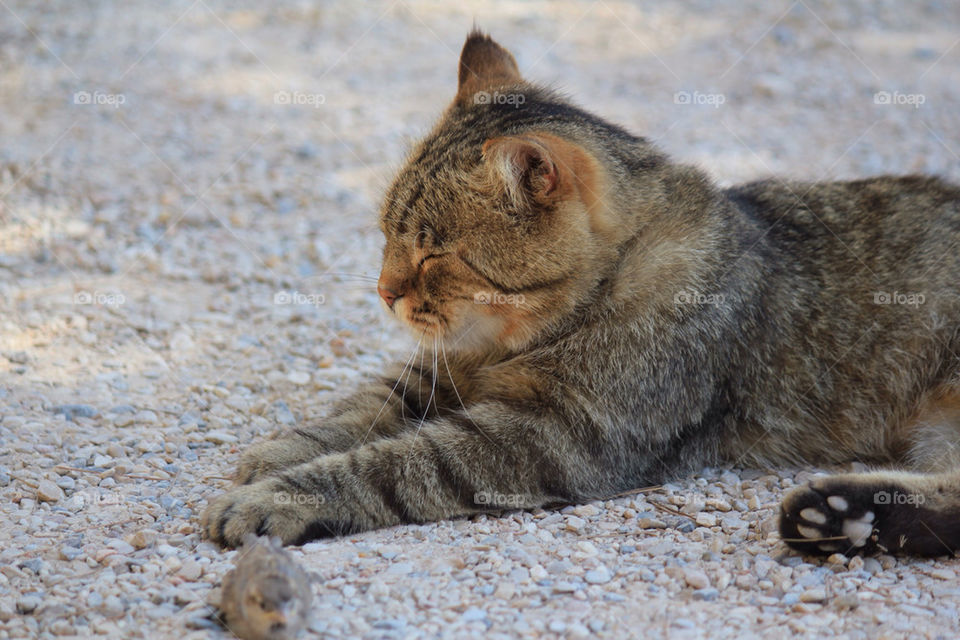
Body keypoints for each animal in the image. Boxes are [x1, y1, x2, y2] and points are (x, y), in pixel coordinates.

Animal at [206, 30, 960, 556]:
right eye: (386, 233)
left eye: (434, 252)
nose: (386, 292)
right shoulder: (441, 373)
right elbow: (362, 410)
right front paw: (283, 450)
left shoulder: (551, 435)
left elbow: (395, 463)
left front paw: (283, 495)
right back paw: (842, 518)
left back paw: (838, 516)